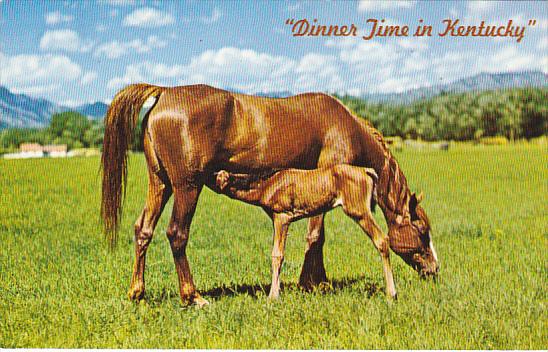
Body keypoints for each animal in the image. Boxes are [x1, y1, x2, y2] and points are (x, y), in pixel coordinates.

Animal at [100, 82, 438, 306]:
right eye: (422, 231)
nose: (435, 271)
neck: (343, 125)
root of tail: (165, 92)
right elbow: (316, 236)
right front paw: (314, 283)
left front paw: (313, 281)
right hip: (187, 187)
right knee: (176, 234)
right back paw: (192, 296)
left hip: (161, 183)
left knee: (143, 229)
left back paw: (137, 292)